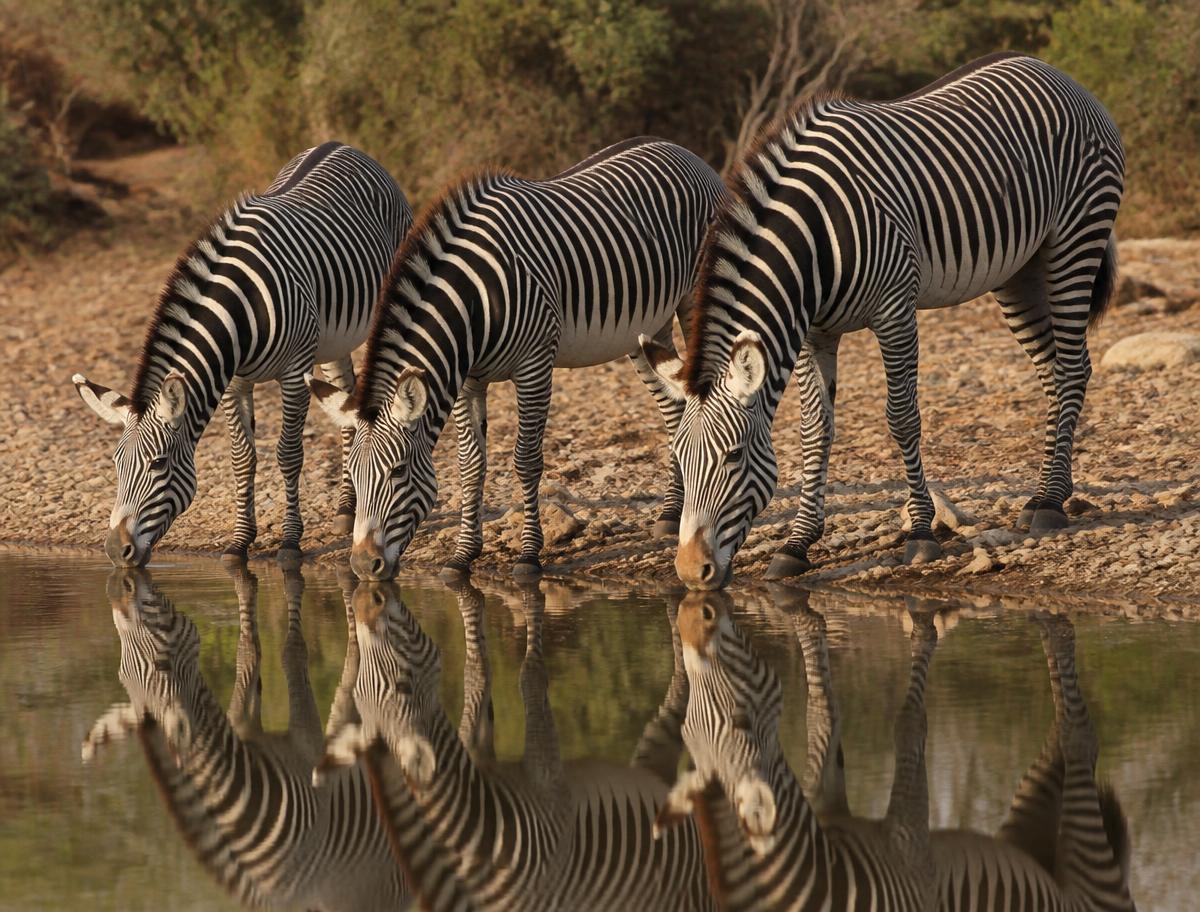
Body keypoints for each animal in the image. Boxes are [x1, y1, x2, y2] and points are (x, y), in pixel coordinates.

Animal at [73, 142, 412, 567]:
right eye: (116, 464)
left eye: (158, 464)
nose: (116, 552)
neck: (239, 309)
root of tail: (342, 145)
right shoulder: (234, 381)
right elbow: (242, 458)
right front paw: (239, 542)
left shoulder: (294, 371)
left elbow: (288, 454)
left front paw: (290, 542)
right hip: (335, 340)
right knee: (346, 397)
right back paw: (346, 509)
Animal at [81, 564, 409, 911]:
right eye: (121, 675)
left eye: (162, 665)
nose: (121, 591)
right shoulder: (241, 727)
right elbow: (246, 655)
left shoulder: (306, 747)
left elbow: (292, 653)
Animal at [307, 137, 726, 580]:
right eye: (352, 475)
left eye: (398, 471)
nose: (361, 564)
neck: (472, 304)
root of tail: (677, 148)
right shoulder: (467, 379)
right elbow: (471, 465)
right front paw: (463, 555)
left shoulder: (534, 366)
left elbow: (526, 460)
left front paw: (528, 554)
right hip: (646, 327)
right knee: (674, 407)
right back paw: (669, 514)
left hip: (692, 299)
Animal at [639, 54, 1125, 588]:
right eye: (680, 461)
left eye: (733, 457)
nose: (690, 571)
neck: (813, 243)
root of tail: (1053, 71)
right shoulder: (812, 332)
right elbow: (816, 429)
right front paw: (797, 544)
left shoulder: (895, 310)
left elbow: (902, 418)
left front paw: (921, 533)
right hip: (1019, 271)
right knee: (1054, 372)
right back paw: (1043, 494)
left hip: (1074, 239)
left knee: (1073, 368)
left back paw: (1053, 503)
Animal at [654, 590, 939, 910]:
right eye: (686, 731)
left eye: (742, 722)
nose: (691, 611)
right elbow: (821, 716)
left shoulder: (910, 855)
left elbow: (910, 723)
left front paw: (923, 614)